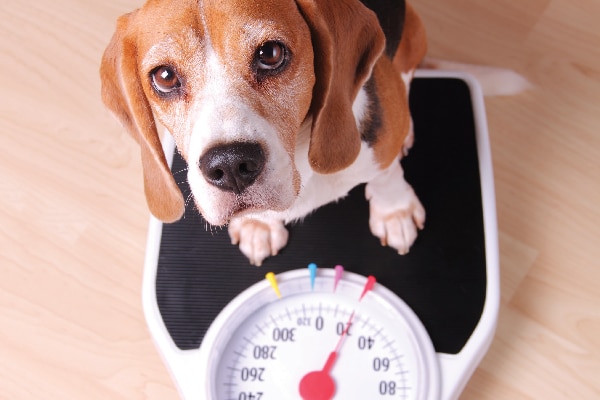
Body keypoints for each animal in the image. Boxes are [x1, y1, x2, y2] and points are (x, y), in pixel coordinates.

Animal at [103, 0, 428, 266]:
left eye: (270, 53)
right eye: (165, 77)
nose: (230, 165)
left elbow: (386, 174)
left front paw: (394, 211)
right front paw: (259, 224)